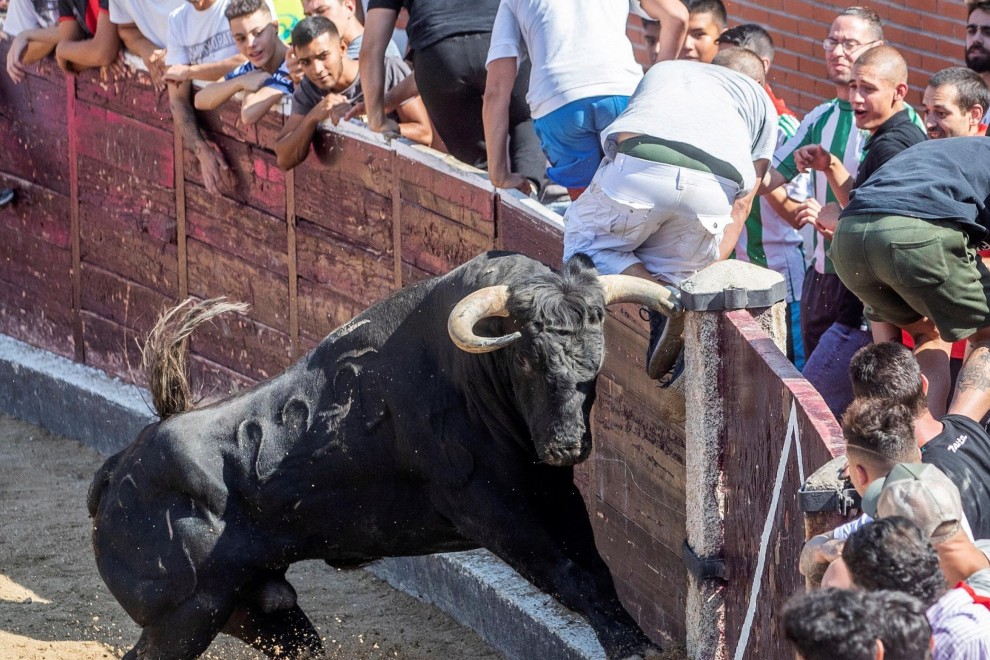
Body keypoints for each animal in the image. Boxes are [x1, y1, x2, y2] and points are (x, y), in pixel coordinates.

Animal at [89, 250, 680, 656]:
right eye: (528, 358)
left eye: (596, 363)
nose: (565, 445)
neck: (468, 376)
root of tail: (118, 471)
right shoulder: (487, 508)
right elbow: (567, 572)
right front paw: (633, 648)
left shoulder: (550, 491)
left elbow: (594, 568)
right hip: (187, 613)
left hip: (255, 608)